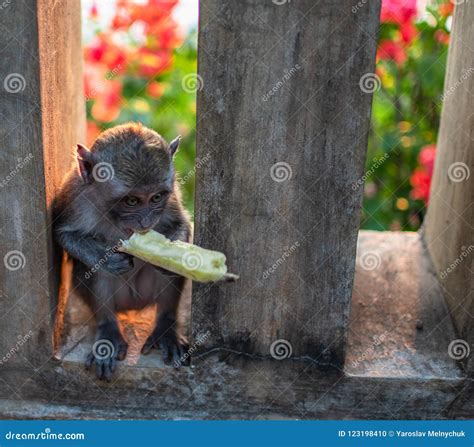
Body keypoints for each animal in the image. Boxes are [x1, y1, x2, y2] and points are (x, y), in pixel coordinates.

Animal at [52, 122, 191, 382]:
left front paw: (170, 254)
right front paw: (106, 260)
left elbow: (181, 225)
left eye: (157, 197)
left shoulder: (171, 200)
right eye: (132, 201)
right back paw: (108, 330)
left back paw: (166, 328)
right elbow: (65, 235)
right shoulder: (75, 199)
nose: (146, 222)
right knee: (94, 273)